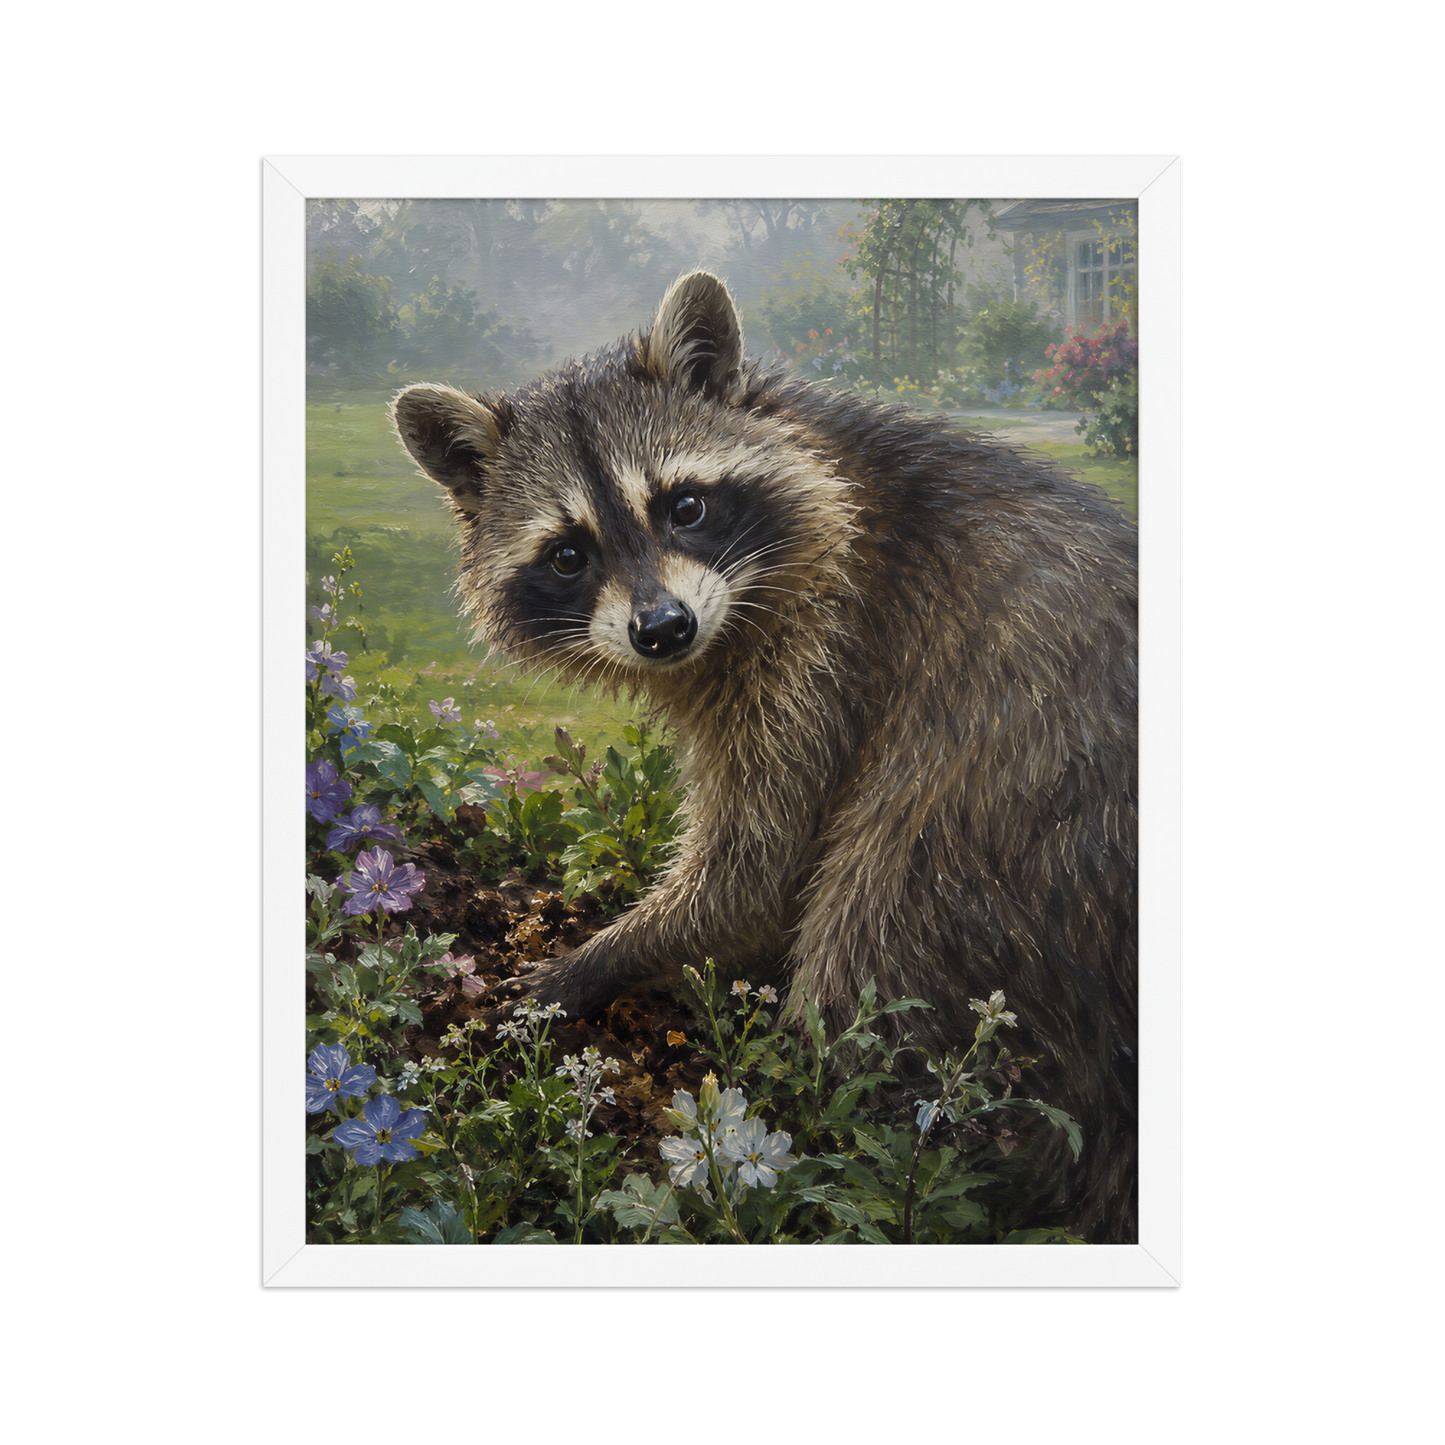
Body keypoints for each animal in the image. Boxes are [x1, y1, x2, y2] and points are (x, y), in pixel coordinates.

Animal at [392, 271, 1138, 1242]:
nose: (662, 630)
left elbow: (755, 870)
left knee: (874, 936)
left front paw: (598, 959)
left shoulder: (830, 648)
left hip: (1004, 836)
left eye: (685, 505)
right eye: (567, 553)